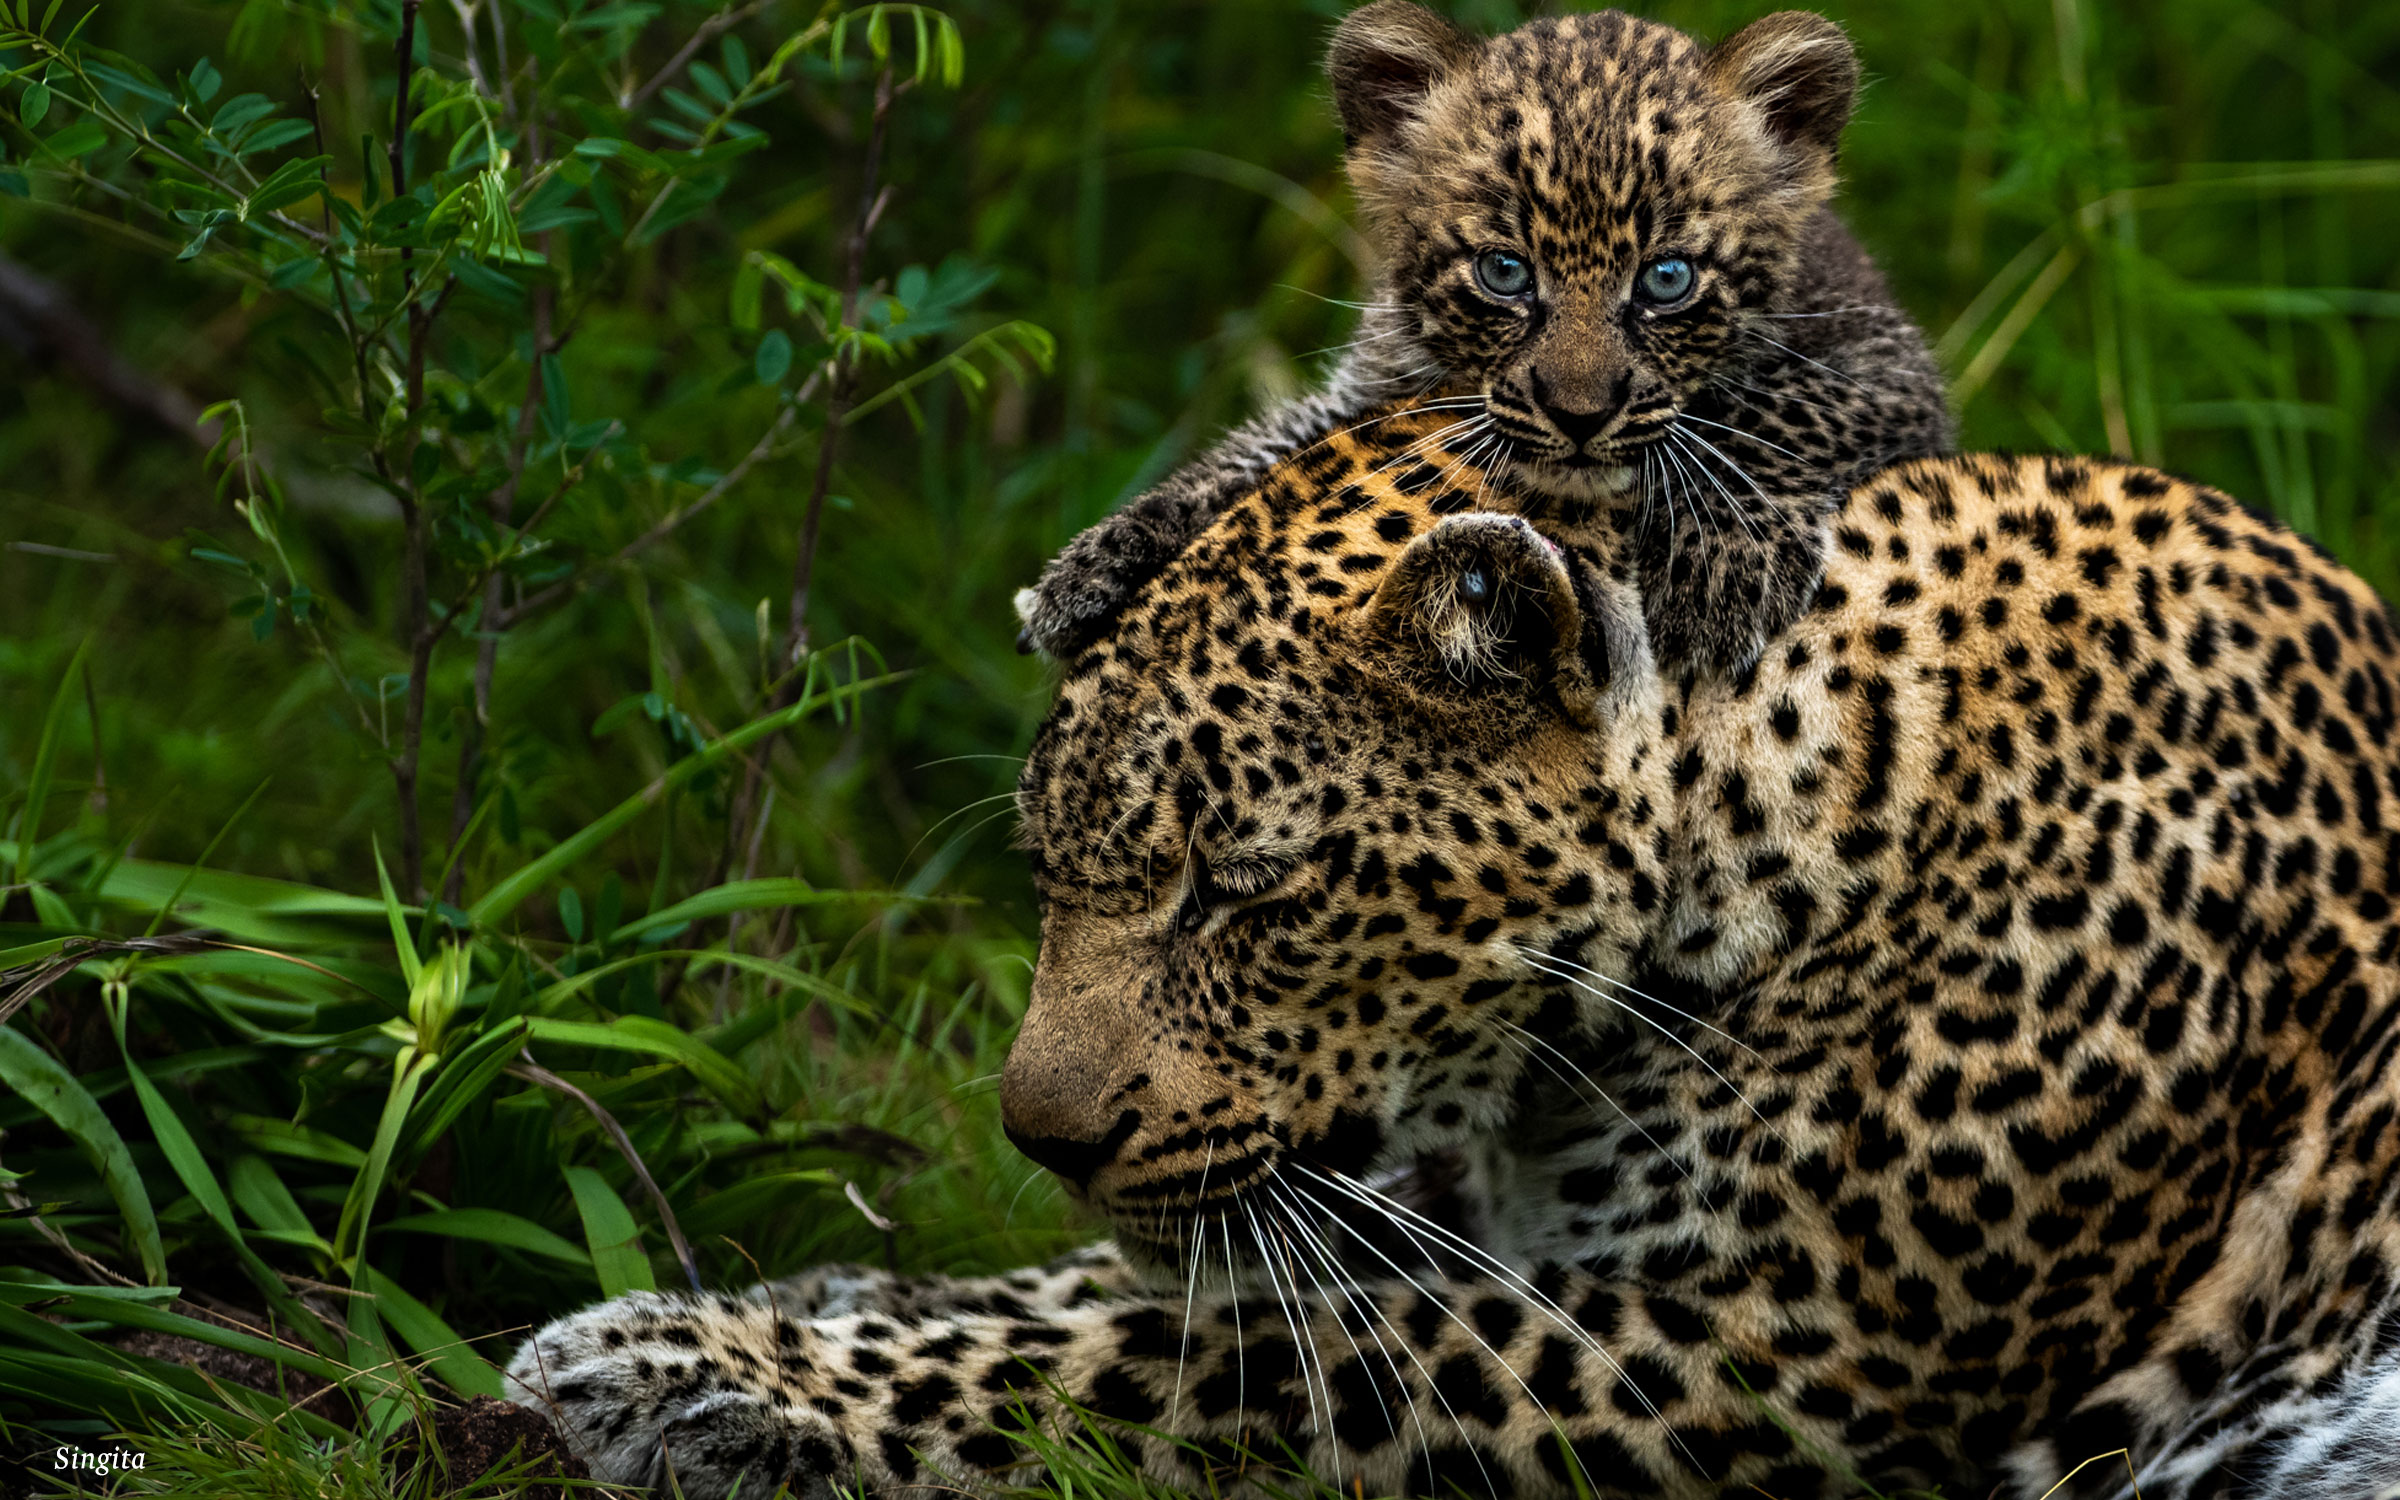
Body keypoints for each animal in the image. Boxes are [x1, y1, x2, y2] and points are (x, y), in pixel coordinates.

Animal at [506, 403, 2400, 1488]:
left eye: (1245, 888)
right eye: (1053, 868)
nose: (1040, 1140)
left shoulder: (1772, 1356)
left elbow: (1203, 1355)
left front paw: (695, 1370)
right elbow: (1128, 1285)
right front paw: (775, 1298)